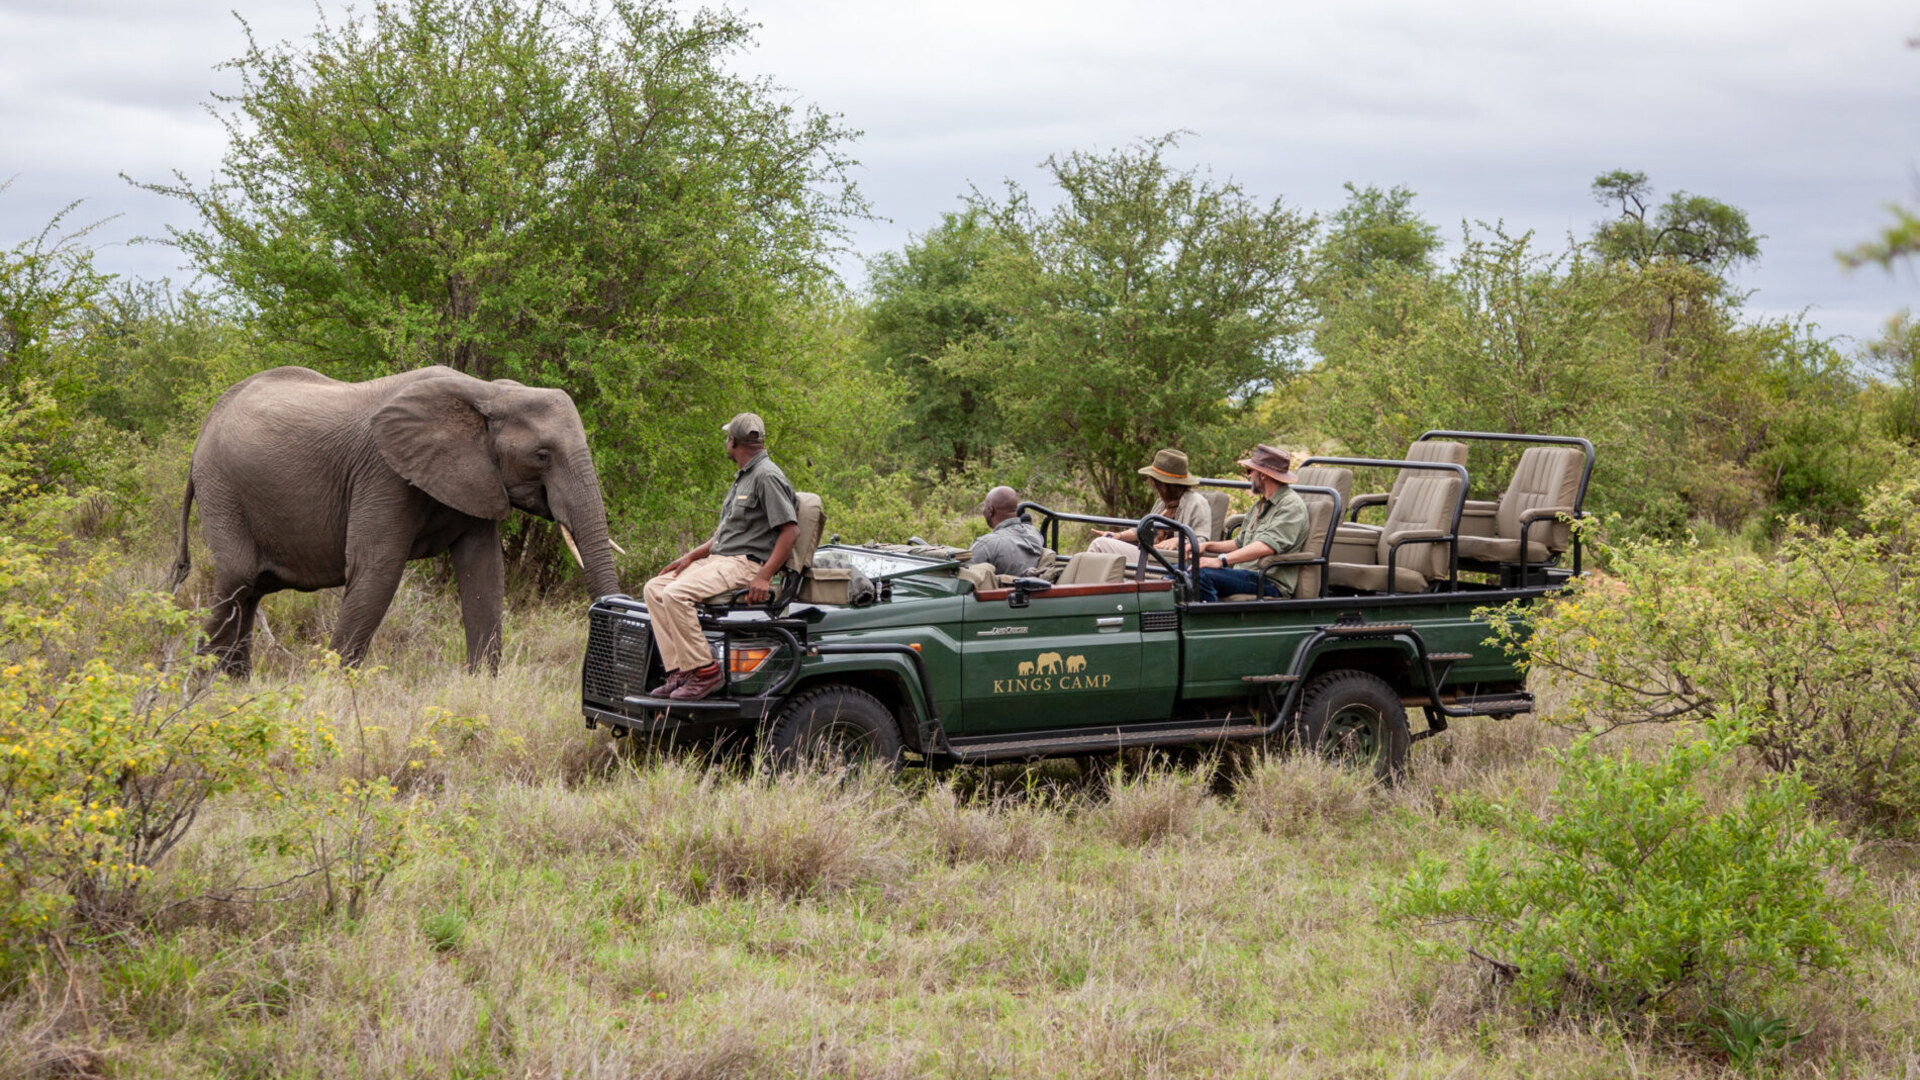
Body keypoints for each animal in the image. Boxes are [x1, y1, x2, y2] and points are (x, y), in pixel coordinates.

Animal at [170, 365, 622, 676]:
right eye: (542, 455)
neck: (487, 392)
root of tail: (204, 428)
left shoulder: (474, 477)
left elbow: (485, 574)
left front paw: (482, 691)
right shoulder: (382, 472)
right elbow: (377, 571)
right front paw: (335, 692)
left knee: (251, 592)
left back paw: (234, 684)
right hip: (222, 488)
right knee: (237, 582)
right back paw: (199, 688)